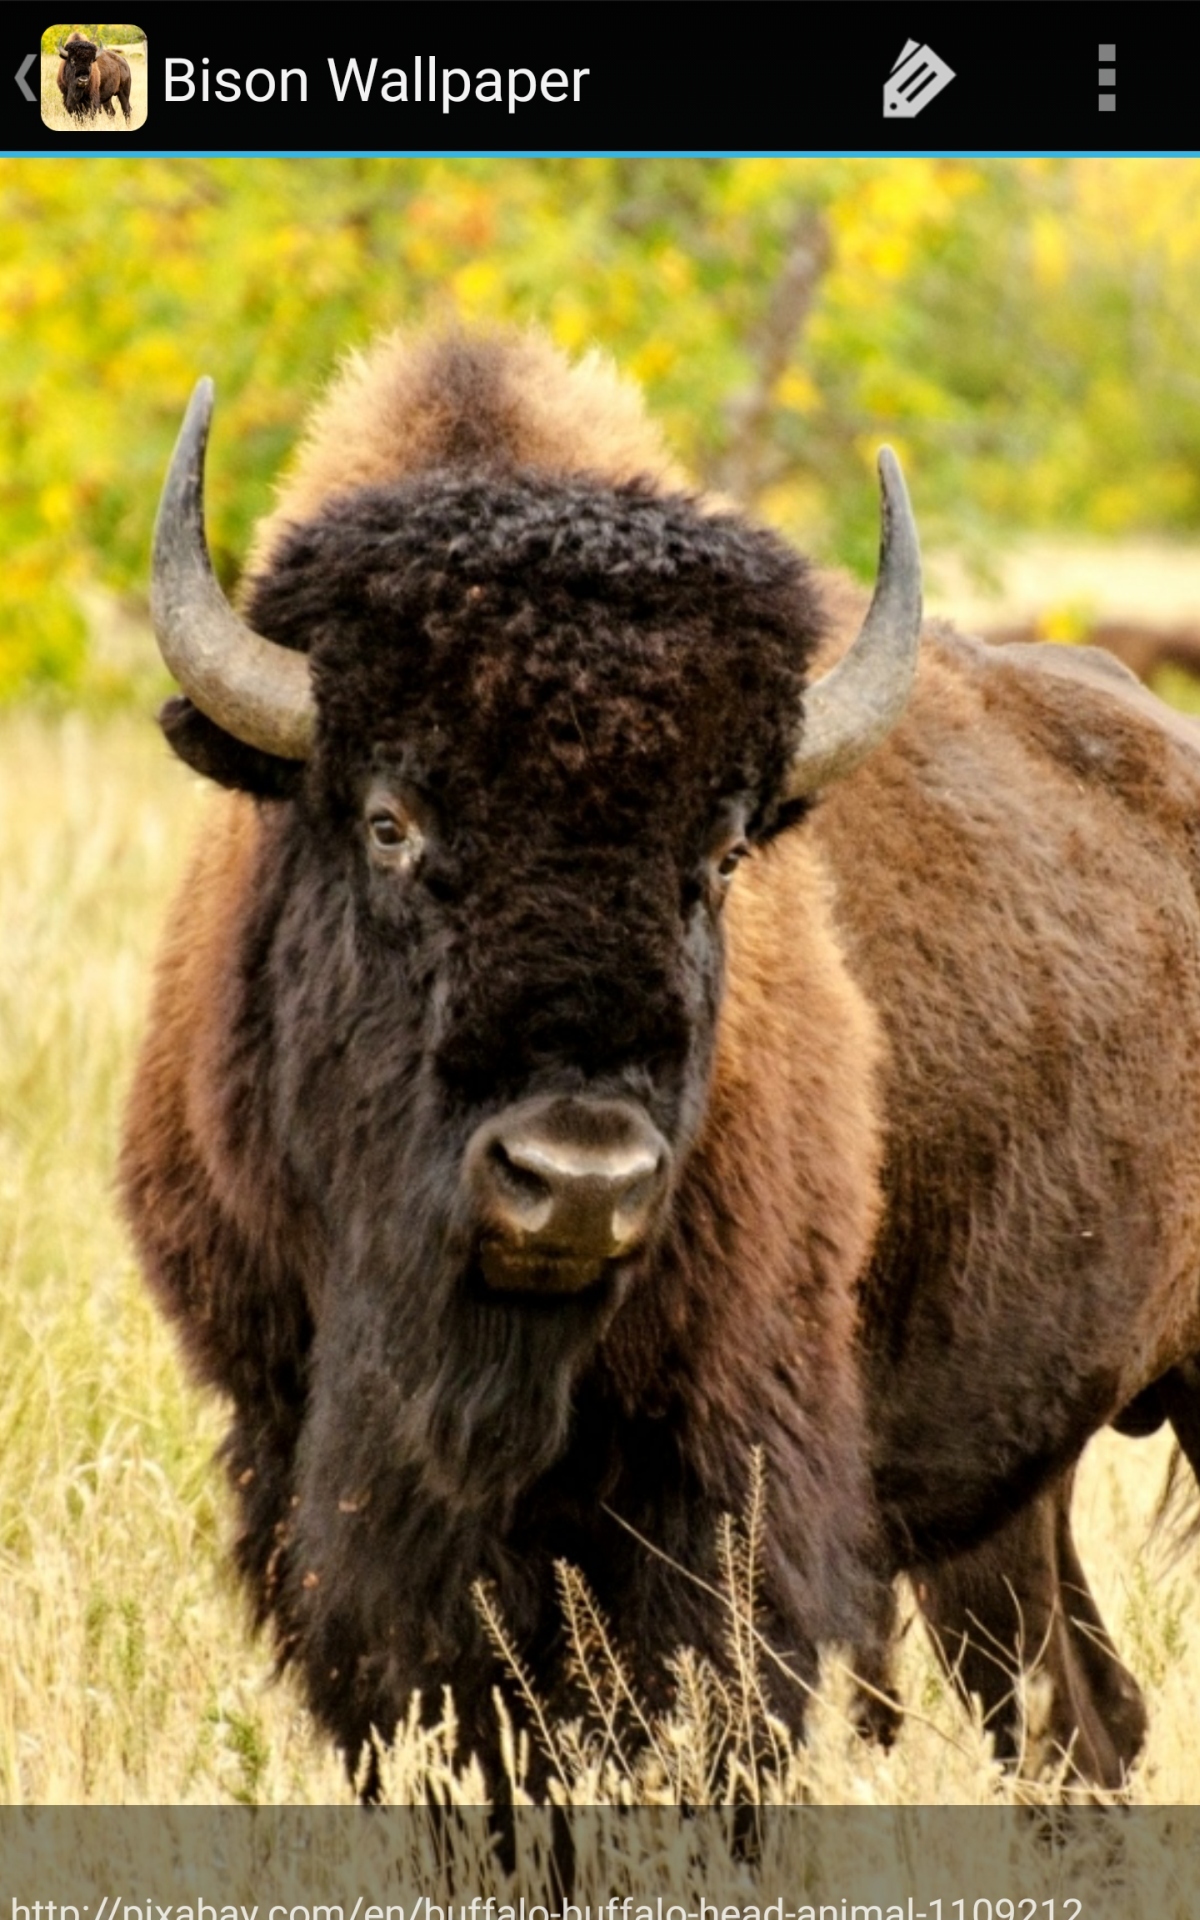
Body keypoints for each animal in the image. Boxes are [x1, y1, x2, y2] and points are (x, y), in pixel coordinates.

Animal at [122, 328, 1200, 1797]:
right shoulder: (292, 1450)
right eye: (391, 819)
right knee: (1076, 1711)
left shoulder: (730, 1493)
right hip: (1012, 1501)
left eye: (724, 852)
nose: (576, 1182)